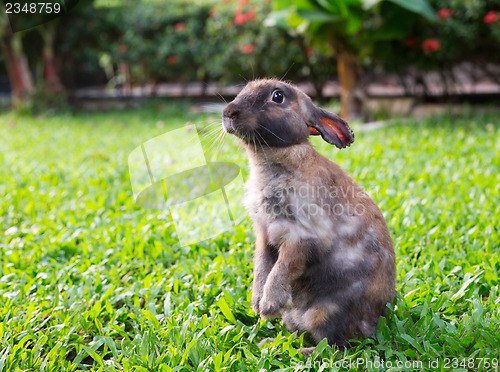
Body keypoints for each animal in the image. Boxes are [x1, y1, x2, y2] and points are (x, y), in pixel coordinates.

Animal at [222, 78, 394, 352]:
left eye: (278, 96)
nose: (228, 113)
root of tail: (373, 324)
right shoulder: (264, 235)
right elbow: (262, 265)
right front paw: (256, 303)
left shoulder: (301, 238)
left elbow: (283, 267)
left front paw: (268, 306)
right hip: (295, 316)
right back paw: (270, 343)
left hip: (326, 314)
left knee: (333, 346)